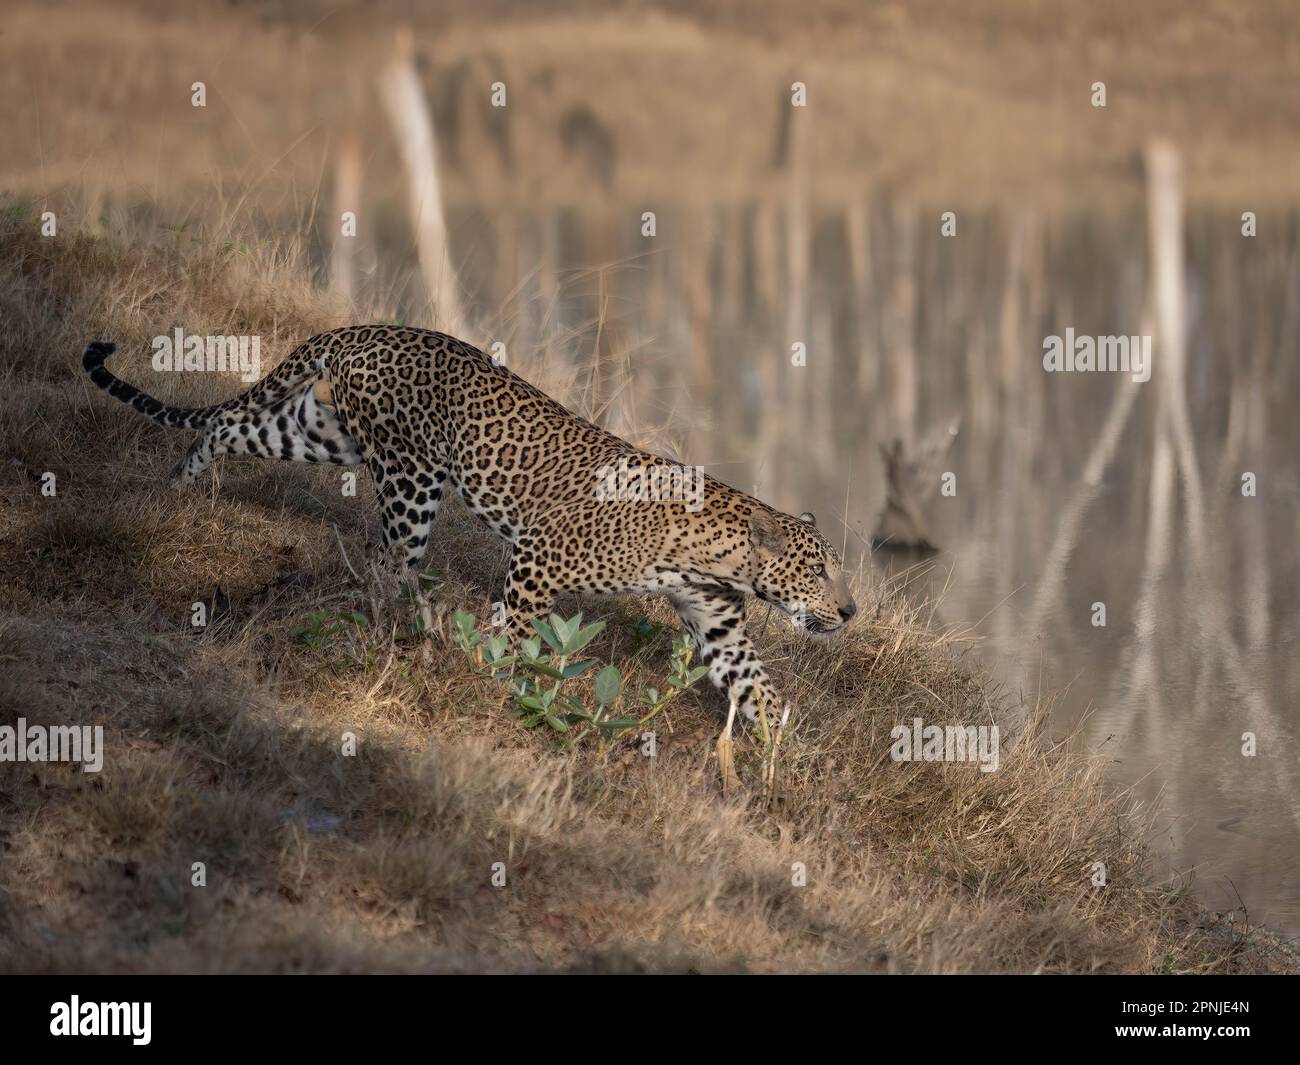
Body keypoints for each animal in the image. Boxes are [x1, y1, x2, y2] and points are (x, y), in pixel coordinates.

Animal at [83, 326, 857, 722]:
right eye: (819, 569)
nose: (850, 611)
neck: (717, 556)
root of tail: (367, 326)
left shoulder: (718, 621)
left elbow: (757, 687)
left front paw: (786, 765)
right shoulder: (542, 556)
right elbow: (516, 631)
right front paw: (497, 678)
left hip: (323, 431)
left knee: (227, 424)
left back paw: (184, 484)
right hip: (411, 476)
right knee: (391, 562)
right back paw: (410, 624)